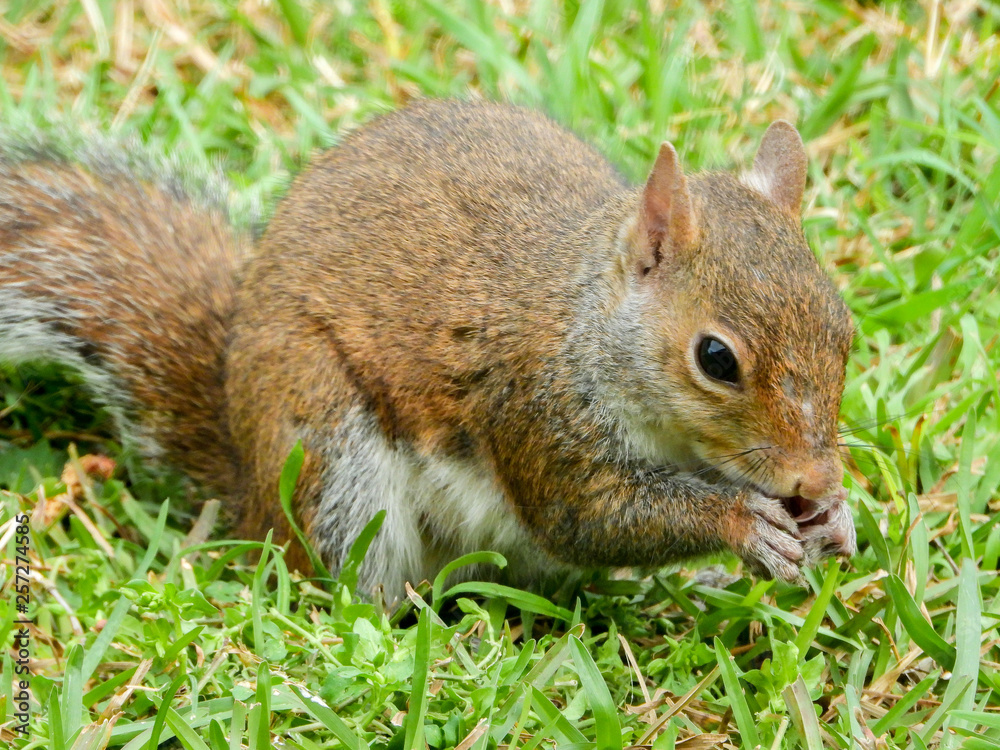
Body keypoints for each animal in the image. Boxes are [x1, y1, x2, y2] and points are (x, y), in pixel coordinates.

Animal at [0, 100, 856, 600]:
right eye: (716, 359)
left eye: (844, 328)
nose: (815, 477)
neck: (587, 322)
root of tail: (247, 486)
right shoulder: (537, 409)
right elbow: (585, 517)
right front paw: (744, 523)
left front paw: (832, 519)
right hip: (329, 453)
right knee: (347, 586)